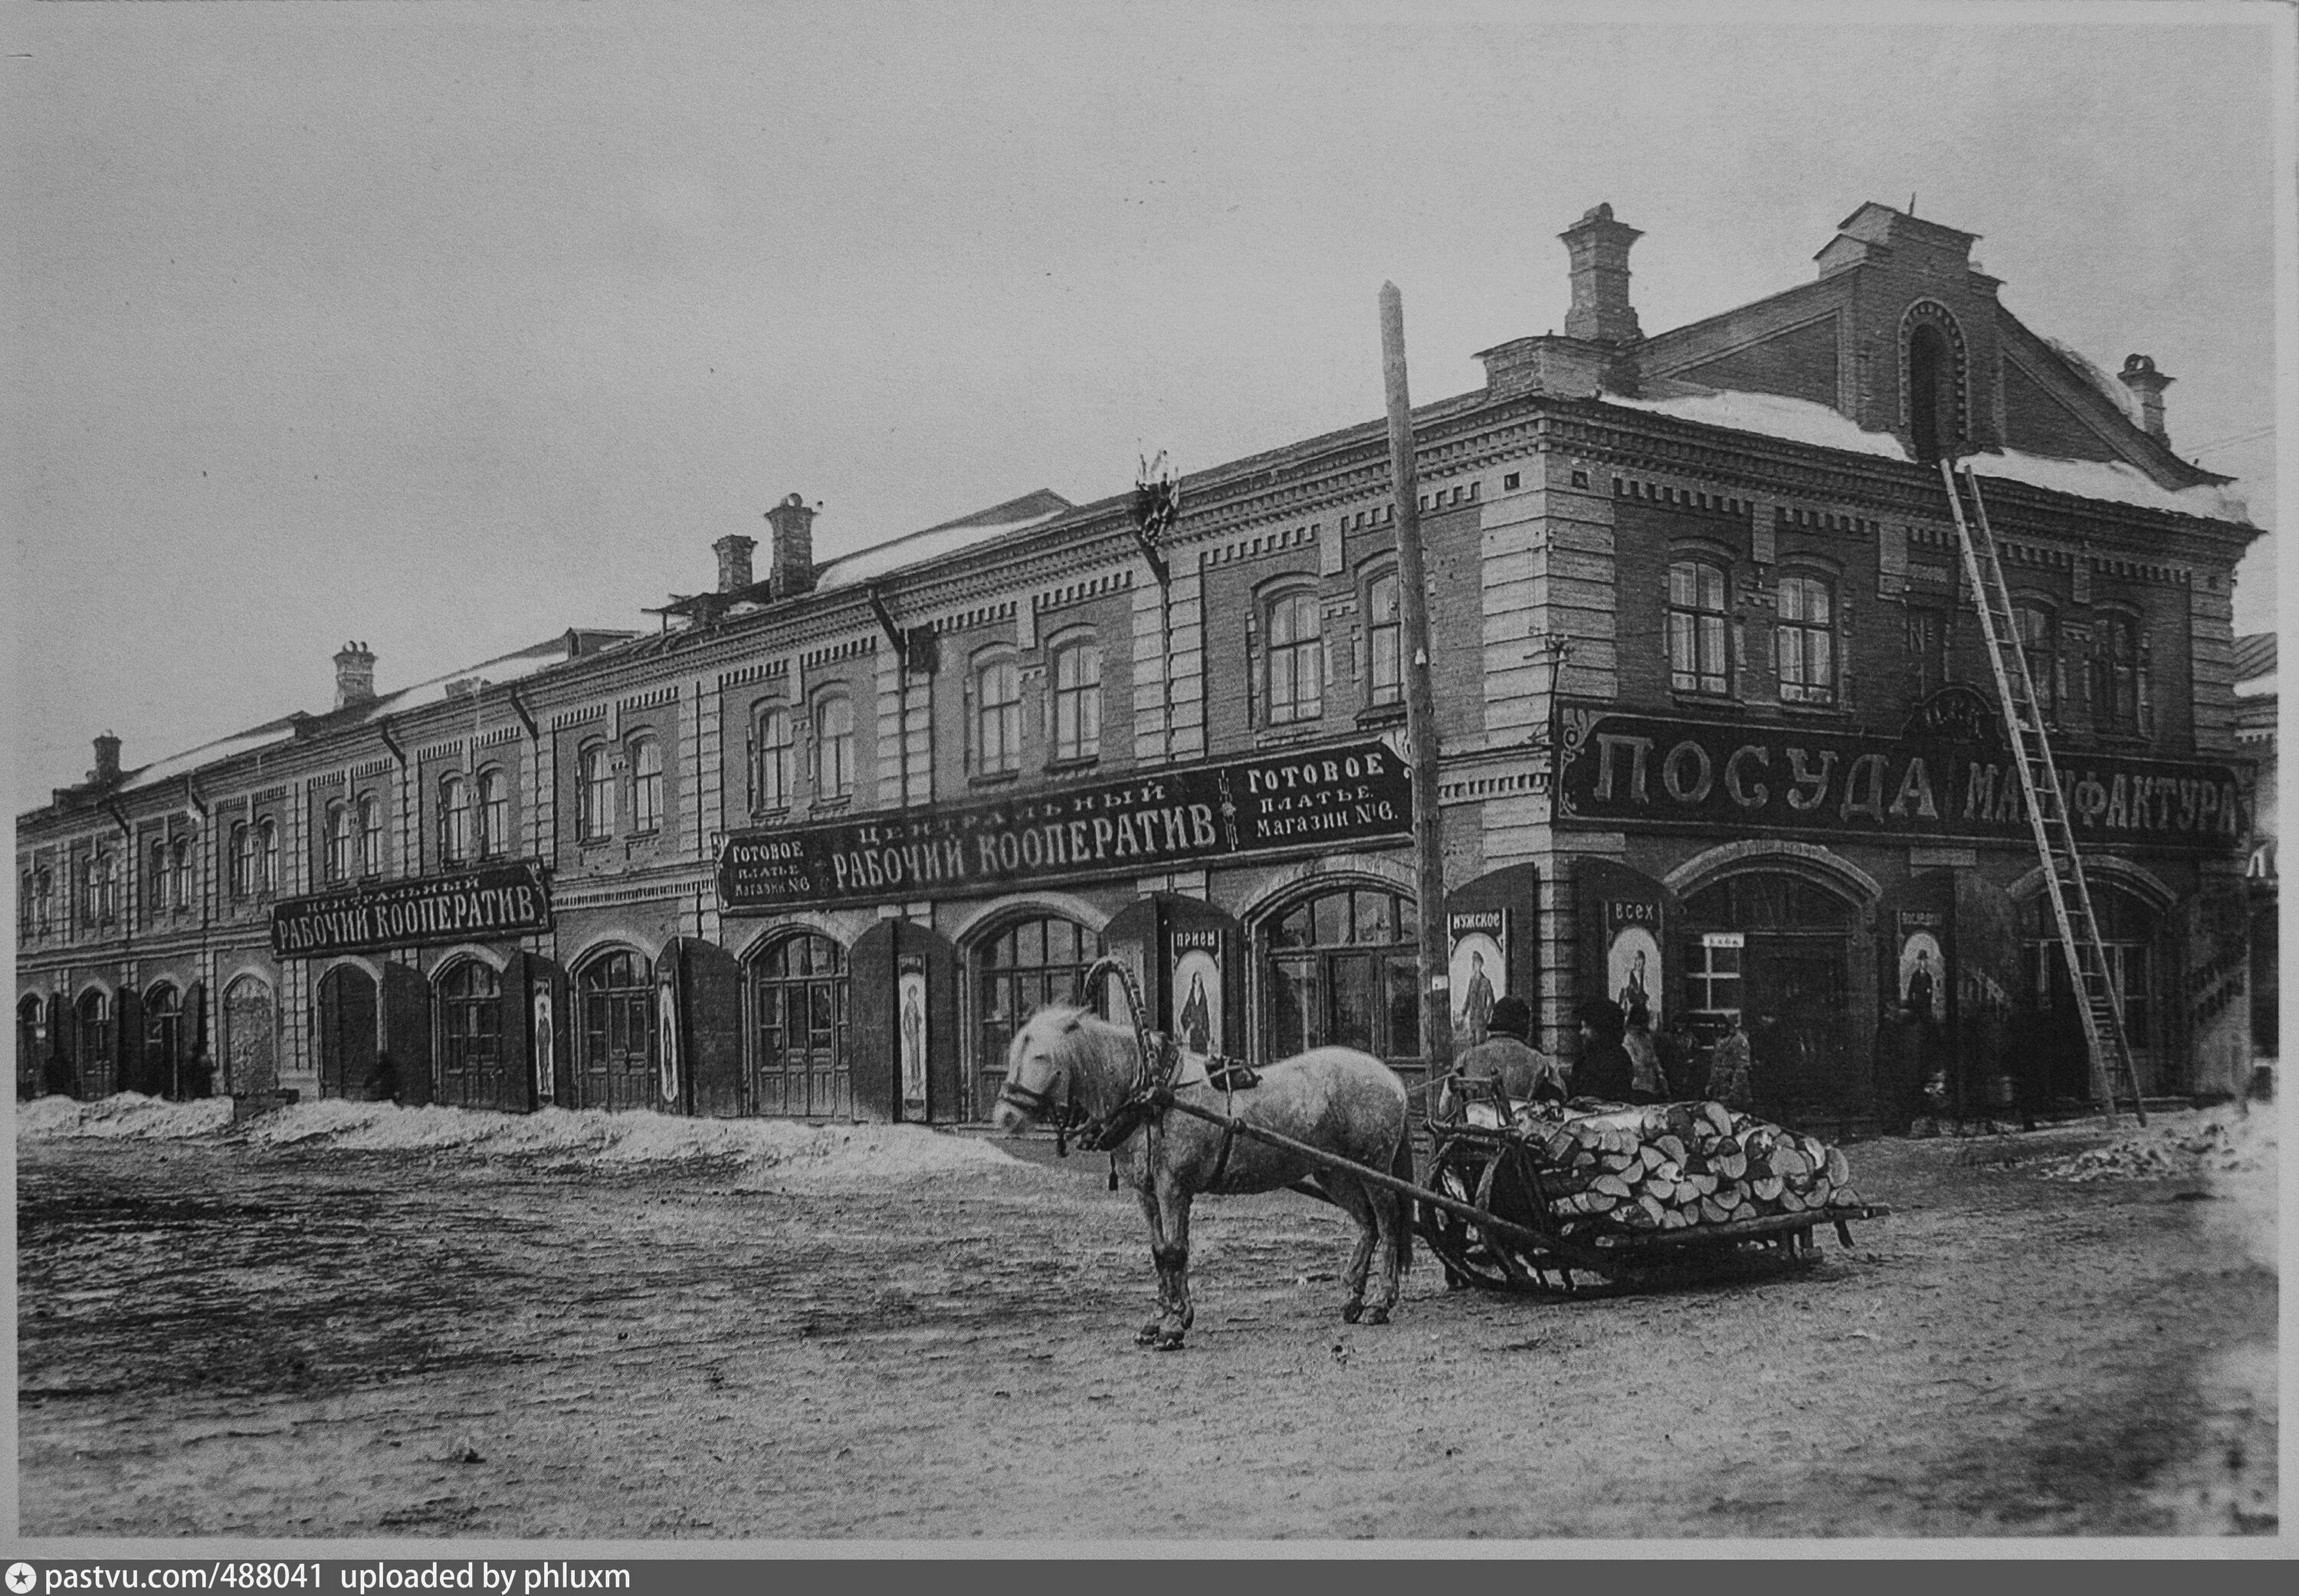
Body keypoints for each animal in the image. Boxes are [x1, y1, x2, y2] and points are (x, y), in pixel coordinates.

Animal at [993, 1011, 1407, 1352]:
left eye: (1041, 1057)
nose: (1005, 1117)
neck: (1153, 1094)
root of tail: (1392, 1078)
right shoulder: (1147, 1193)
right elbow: (1160, 1251)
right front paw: (1159, 1319)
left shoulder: (1173, 1187)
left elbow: (1176, 1251)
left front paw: (1175, 1325)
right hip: (1334, 1171)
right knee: (1367, 1225)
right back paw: (1353, 1298)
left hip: (1374, 1166)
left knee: (1388, 1224)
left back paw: (1380, 1303)